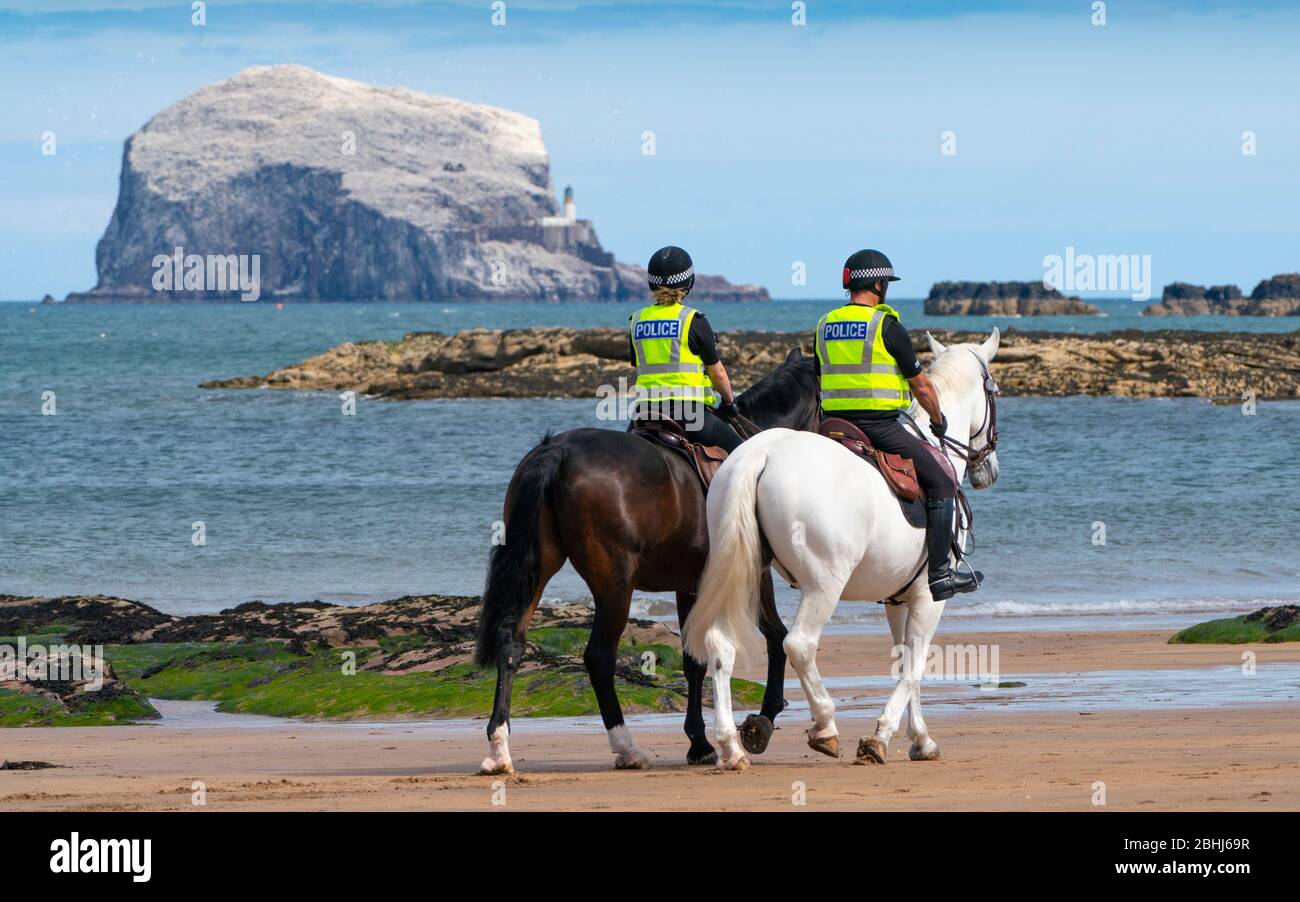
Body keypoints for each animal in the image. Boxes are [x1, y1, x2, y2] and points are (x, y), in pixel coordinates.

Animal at [473, 350, 816, 774]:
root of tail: (558, 451)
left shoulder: (690, 583)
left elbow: (693, 660)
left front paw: (699, 742)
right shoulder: (754, 571)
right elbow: (775, 636)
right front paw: (761, 721)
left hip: (539, 567)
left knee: (511, 641)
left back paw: (499, 749)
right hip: (614, 585)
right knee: (599, 657)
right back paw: (626, 747)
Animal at [681, 330, 1003, 769]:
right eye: (995, 392)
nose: (990, 470)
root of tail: (761, 453)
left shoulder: (897, 598)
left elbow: (902, 660)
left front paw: (920, 739)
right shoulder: (928, 597)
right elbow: (915, 664)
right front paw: (881, 737)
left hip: (743, 574)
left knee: (719, 645)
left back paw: (731, 746)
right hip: (824, 584)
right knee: (798, 645)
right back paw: (824, 725)